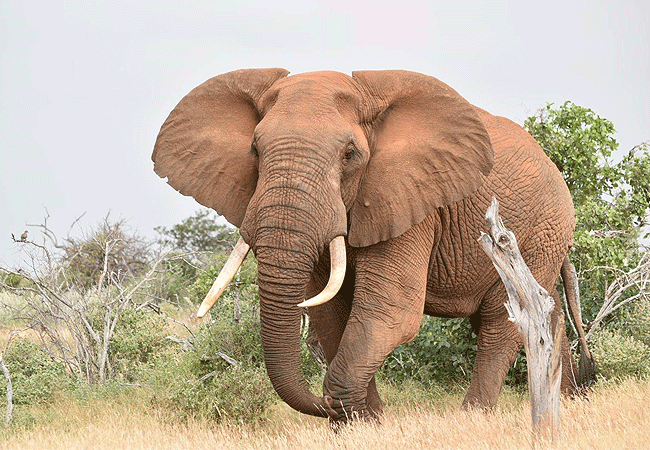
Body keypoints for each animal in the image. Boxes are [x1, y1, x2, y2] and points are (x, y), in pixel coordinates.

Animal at [152, 69, 593, 422]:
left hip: (541, 230)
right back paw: (569, 404)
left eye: (350, 155)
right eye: (255, 151)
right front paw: (363, 423)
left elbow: (390, 311)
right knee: (541, 313)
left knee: (503, 324)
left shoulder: (410, 199)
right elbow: (329, 313)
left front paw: (358, 419)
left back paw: (475, 418)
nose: (324, 405)